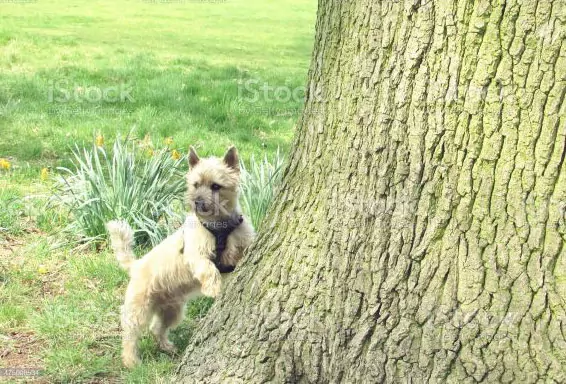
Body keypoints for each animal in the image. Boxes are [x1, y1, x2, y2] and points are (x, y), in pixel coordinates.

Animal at [107, 146, 258, 368]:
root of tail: (136, 265)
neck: (219, 227)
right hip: (140, 307)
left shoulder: (240, 244)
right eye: (195, 184)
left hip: (173, 310)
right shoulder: (197, 254)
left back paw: (166, 347)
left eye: (216, 186)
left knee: (157, 328)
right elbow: (208, 268)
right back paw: (131, 360)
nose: (196, 202)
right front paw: (213, 289)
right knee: (130, 333)